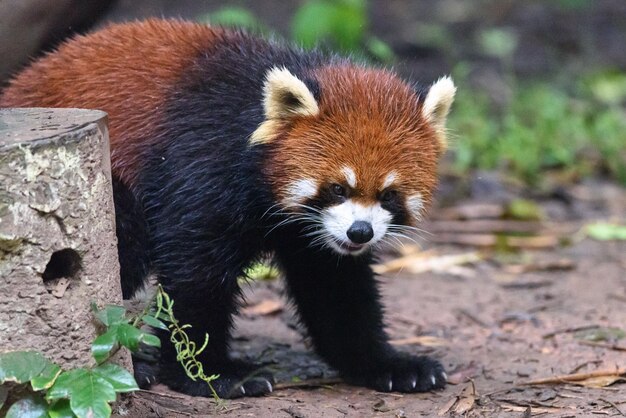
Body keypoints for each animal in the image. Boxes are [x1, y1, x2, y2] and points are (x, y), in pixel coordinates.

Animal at [0, 19, 454, 398]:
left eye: (388, 195)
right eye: (338, 189)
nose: (360, 232)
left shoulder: (314, 236)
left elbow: (335, 288)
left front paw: (388, 365)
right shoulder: (199, 166)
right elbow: (194, 275)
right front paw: (212, 374)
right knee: (125, 240)